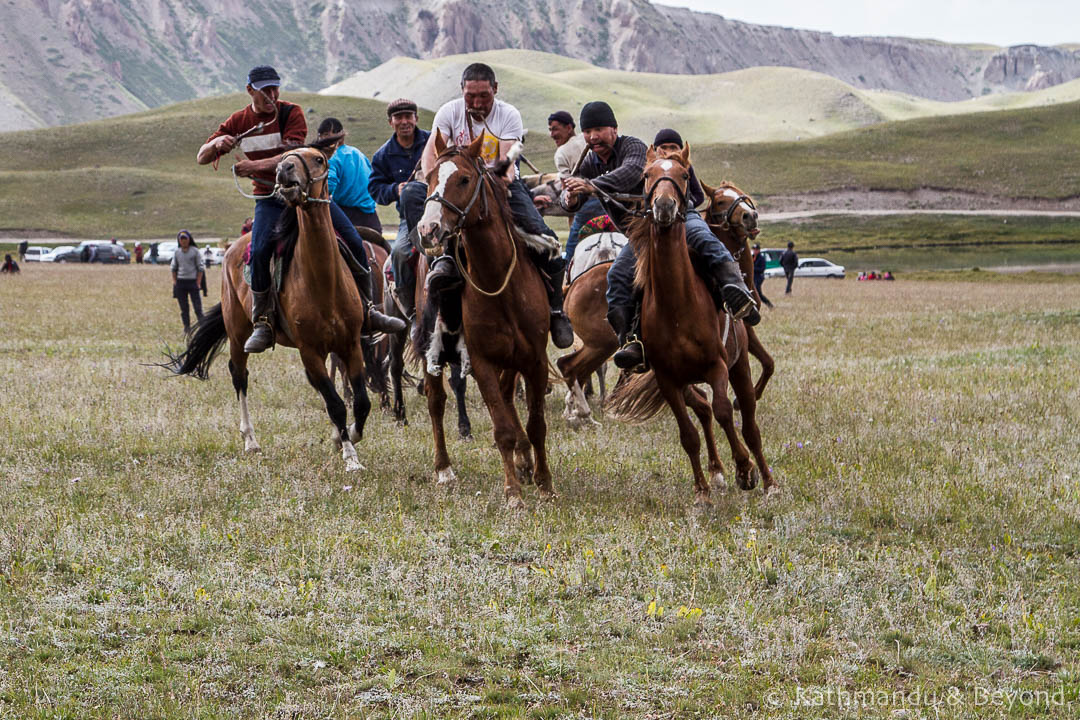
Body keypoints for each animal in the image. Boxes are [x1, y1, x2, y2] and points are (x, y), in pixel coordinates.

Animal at [166, 140, 373, 472]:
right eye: (282, 158)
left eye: (319, 159)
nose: (284, 169)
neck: (324, 282)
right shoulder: (309, 351)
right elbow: (336, 404)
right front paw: (350, 455)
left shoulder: (351, 344)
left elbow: (360, 402)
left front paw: (347, 437)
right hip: (237, 334)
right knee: (239, 375)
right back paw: (250, 440)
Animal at [416, 131, 557, 511]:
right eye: (429, 178)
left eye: (464, 179)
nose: (428, 229)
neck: (500, 284)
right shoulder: (481, 362)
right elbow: (502, 428)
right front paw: (513, 493)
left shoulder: (535, 359)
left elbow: (536, 423)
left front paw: (544, 483)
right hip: (430, 342)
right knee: (436, 402)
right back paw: (444, 470)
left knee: (509, 399)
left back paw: (525, 460)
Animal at [604, 146, 773, 505]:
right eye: (647, 175)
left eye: (683, 175)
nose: (664, 206)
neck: (677, 306)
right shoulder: (668, 381)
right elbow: (688, 434)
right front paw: (702, 491)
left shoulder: (717, 366)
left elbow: (725, 412)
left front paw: (745, 470)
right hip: (687, 382)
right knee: (705, 411)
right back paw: (717, 474)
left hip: (738, 366)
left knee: (748, 424)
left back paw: (767, 481)